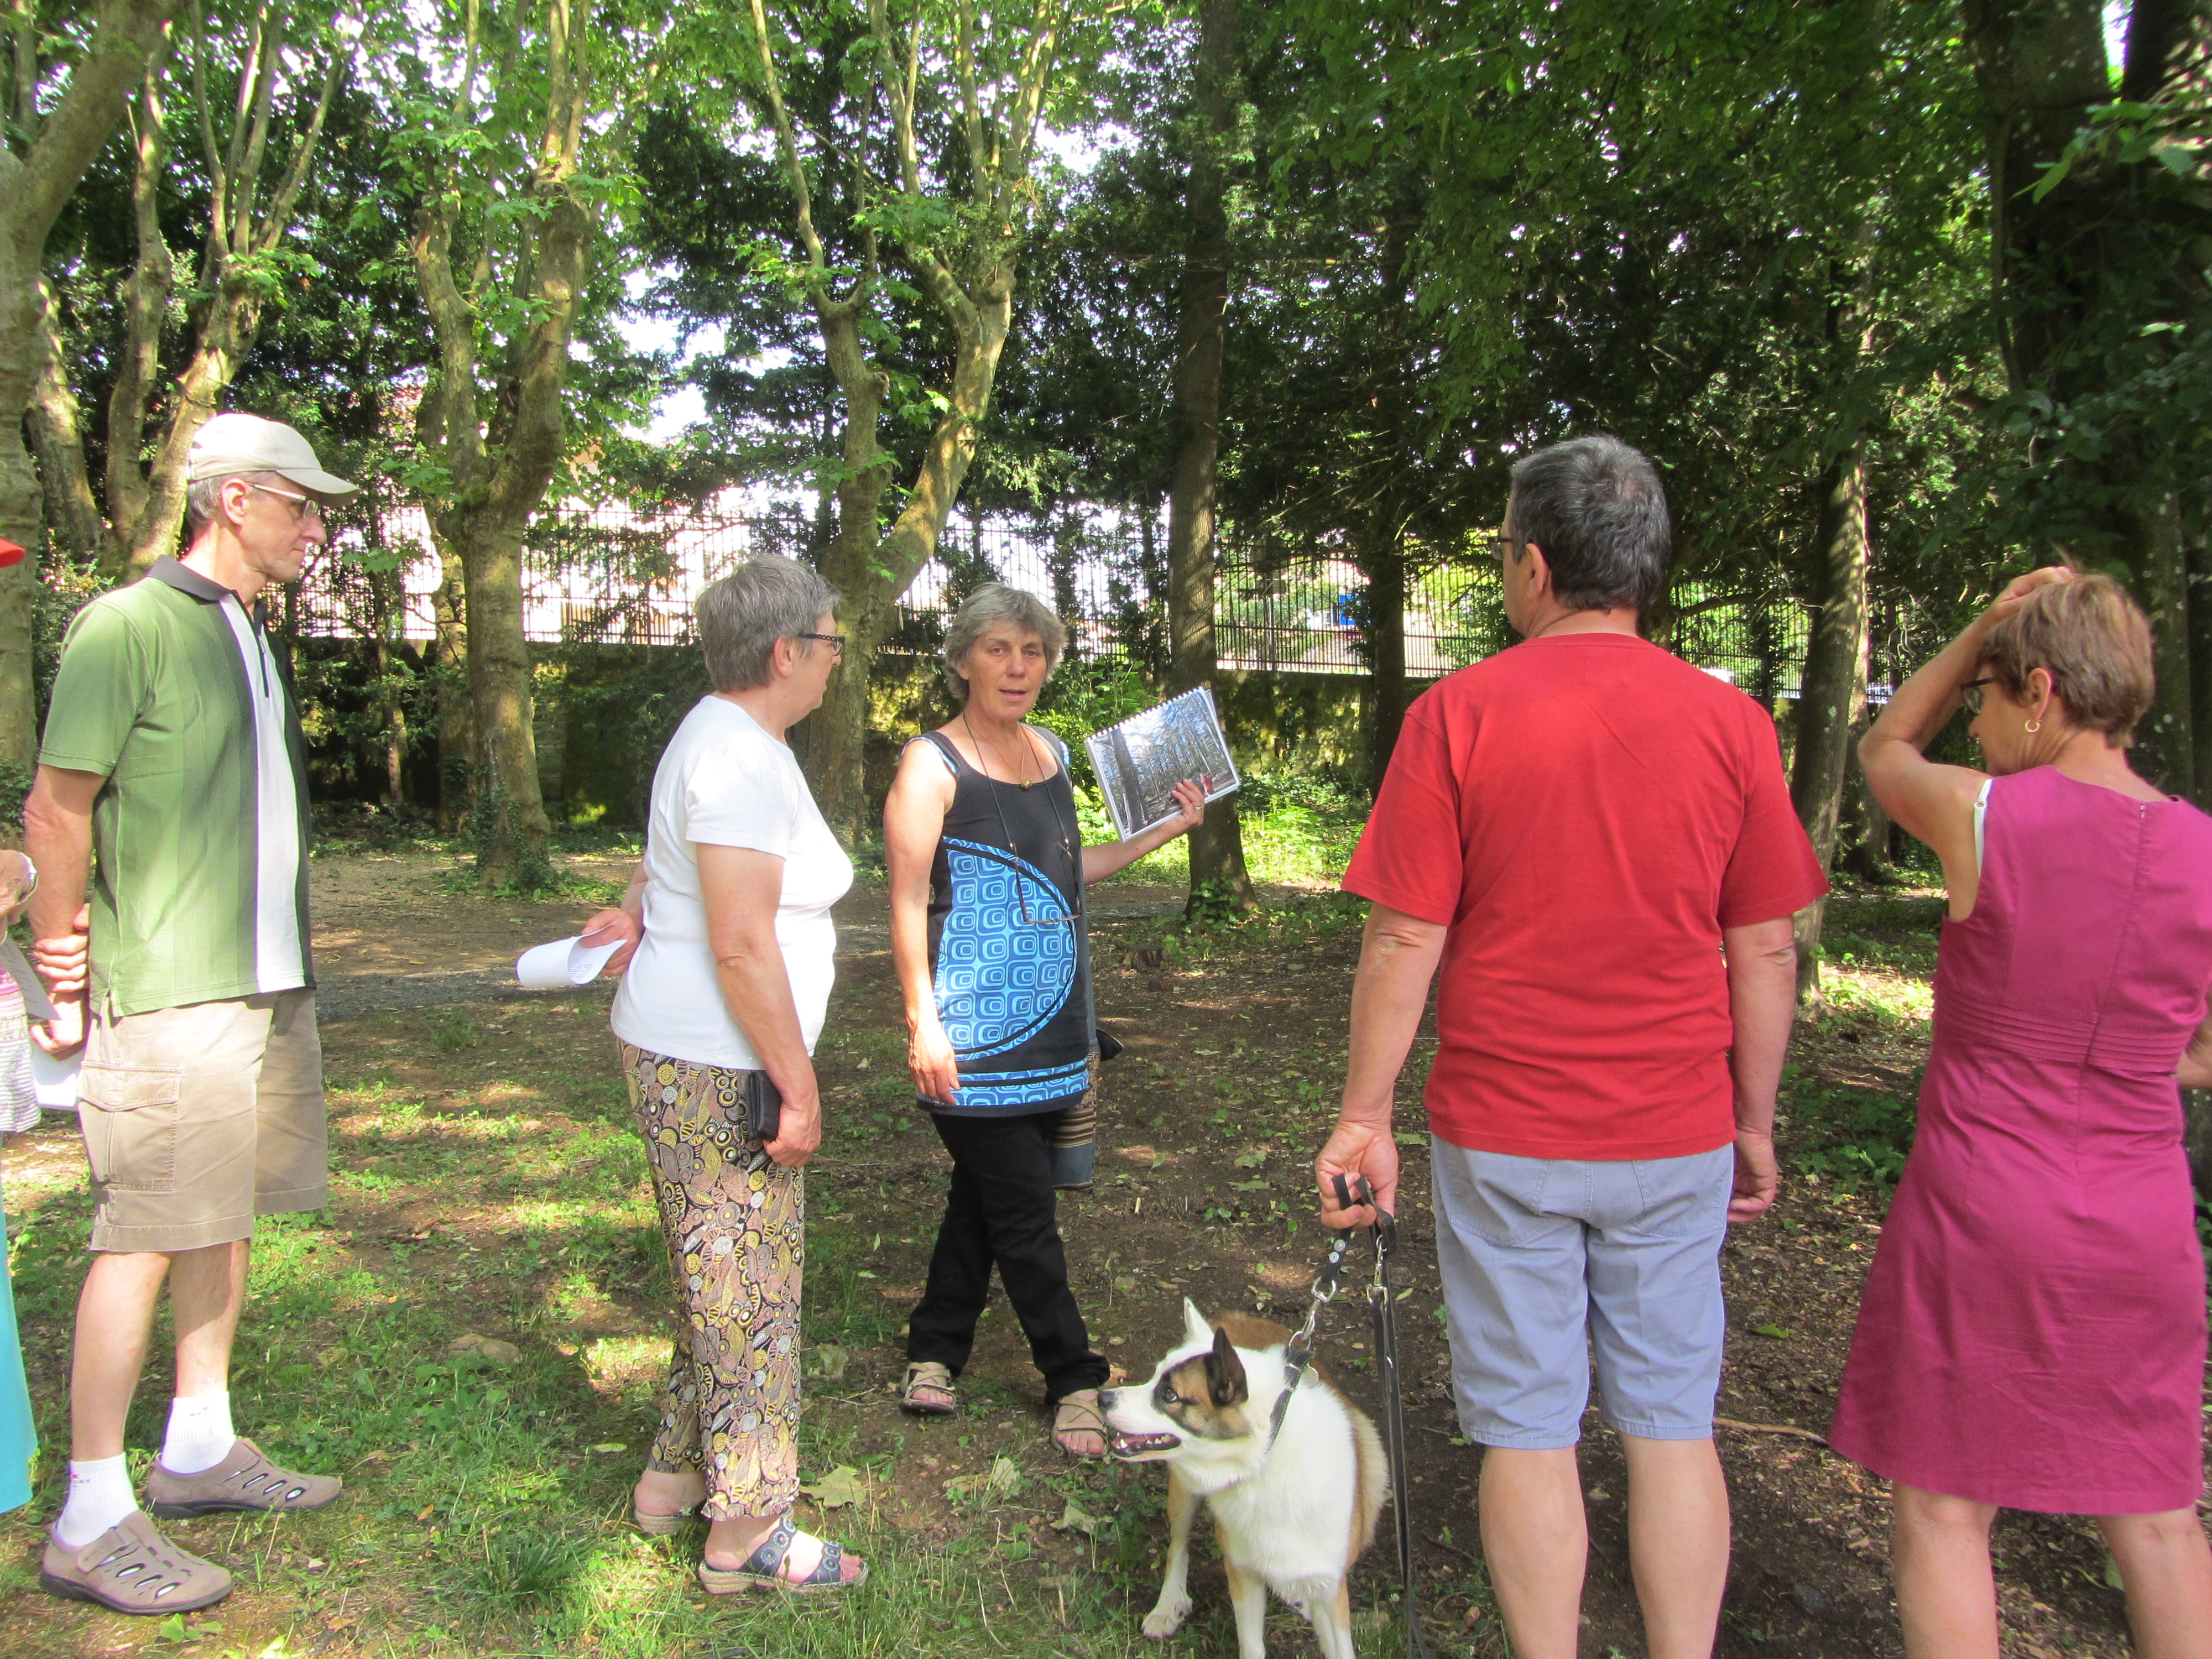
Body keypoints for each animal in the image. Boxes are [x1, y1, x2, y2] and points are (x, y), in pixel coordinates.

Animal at [1102, 1310, 1389, 1655]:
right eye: (1153, 1377)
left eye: (1170, 1395)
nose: (1102, 1397)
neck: (1265, 1462)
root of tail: (1233, 1317)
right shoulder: (1243, 1576)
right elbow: (1252, 1646)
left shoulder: (1332, 1588)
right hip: (1184, 1492)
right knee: (1178, 1547)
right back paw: (1168, 1604)